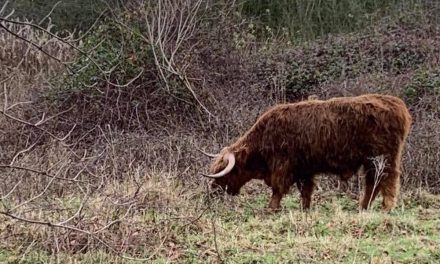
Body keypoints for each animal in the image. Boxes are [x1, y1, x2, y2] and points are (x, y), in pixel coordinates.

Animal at [203, 94, 412, 211]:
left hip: (383, 158)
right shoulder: (304, 169)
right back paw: (363, 207)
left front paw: (270, 209)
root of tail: (398, 105)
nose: (213, 188)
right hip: (371, 162)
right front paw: (305, 209)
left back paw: (386, 208)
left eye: (226, 172)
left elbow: (278, 190)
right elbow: (305, 191)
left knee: (387, 180)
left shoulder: (282, 167)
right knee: (373, 183)